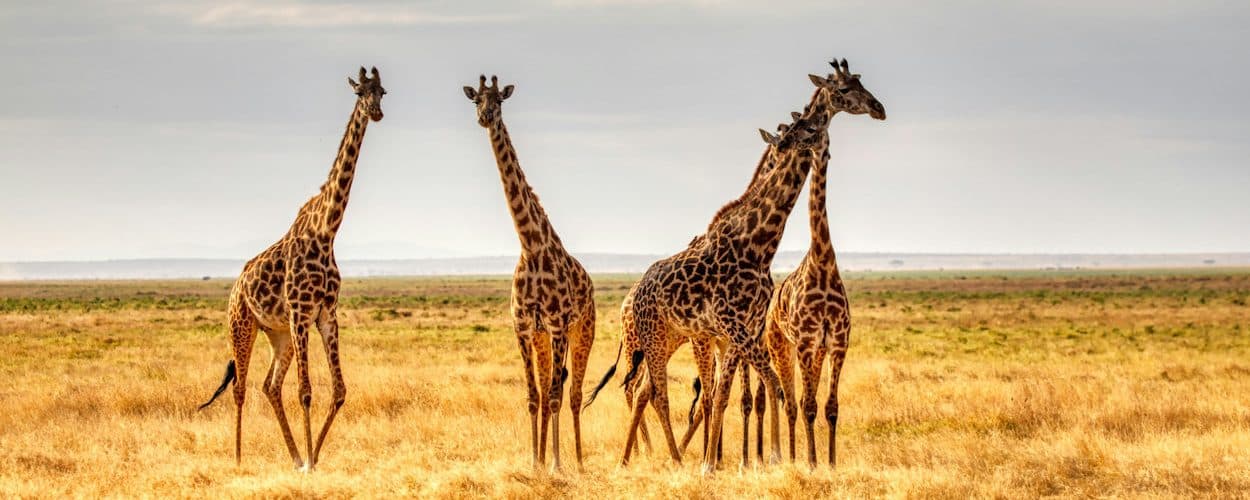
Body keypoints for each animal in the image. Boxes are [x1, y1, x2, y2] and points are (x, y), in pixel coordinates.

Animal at [198, 66, 386, 471]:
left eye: (382, 91)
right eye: (360, 93)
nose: (377, 112)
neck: (327, 231)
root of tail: (236, 287)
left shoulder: (326, 314)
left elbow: (339, 390)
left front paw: (311, 458)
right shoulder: (301, 312)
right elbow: (306, 391)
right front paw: (312, 462)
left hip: (278, 334)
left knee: (269, 385)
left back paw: (294, 454)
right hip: (242, 325)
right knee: (240, 387)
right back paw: (238, 458)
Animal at [463, 75, 596, 472]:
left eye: (499, 101)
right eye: (475, 99)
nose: (485, 117)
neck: (531, 247)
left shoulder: (557, 326)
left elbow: (553, 395)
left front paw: (555, 464)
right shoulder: (523, 327)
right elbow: (533, 395)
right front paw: (534, 462)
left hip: (582, 331)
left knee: (573, 393)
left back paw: (578, 462)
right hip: (542, 339)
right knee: (553, 387)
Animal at [763, 58, 886, 468]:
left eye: (812, 126)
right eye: (844, 88)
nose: (880, 108)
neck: (823, 261)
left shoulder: (837, 343)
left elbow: (831, 407)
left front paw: (830, 463)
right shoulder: (805, 342)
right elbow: (808, 405)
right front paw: (813, 463)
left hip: (810, 351)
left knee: (799, 401)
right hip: (781, 346)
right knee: (790, 402)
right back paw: (791, 457)